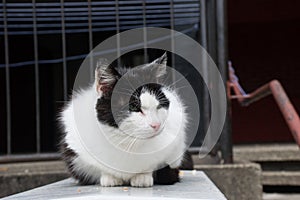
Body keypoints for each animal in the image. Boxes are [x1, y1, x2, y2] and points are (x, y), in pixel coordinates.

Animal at [59, 53, 189, 188]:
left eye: (159, 106)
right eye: (134, 108)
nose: (156, 125)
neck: (127, 142)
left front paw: (143, 177)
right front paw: (109, 177)